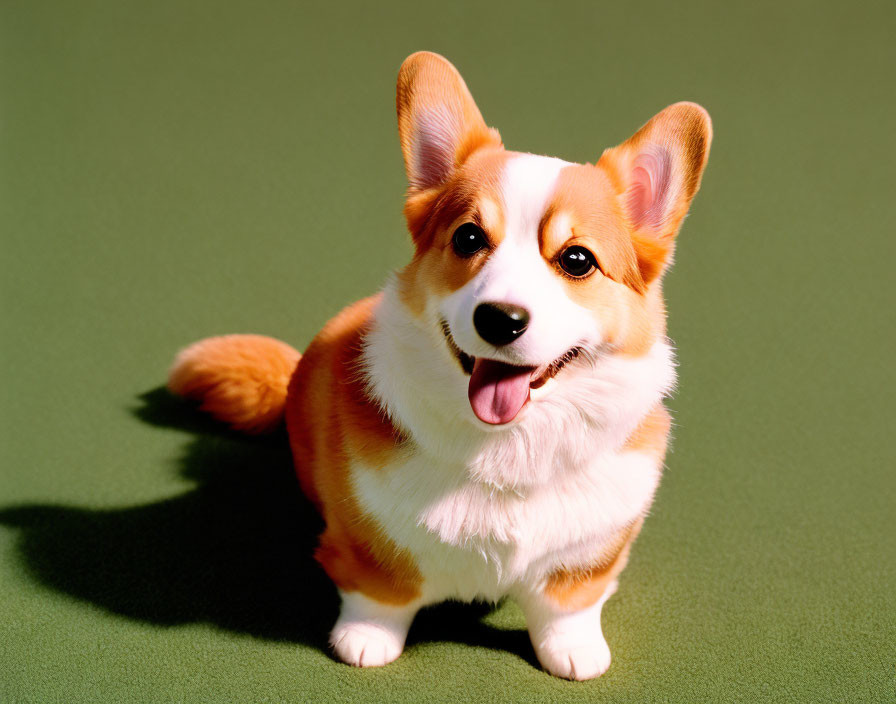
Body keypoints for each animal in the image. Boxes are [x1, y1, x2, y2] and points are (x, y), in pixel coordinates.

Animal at [168, 52, 712, 680]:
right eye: (468, 237)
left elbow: (568, 603)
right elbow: (381, 591)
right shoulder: (367, 541)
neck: (507, 448)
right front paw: (366, 640)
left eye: (577, 260)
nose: (500, 319)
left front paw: (574, 651)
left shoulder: (589, 555)